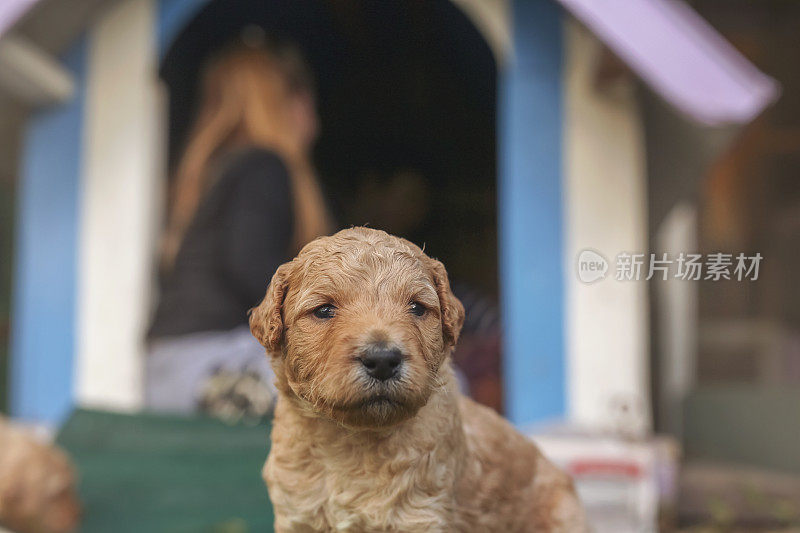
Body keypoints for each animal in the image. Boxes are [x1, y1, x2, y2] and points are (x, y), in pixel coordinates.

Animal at [250, 227, 588, 528]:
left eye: (416, 307)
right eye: (323, 310)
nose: (383, 360)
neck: (355, 443)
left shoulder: (422, 513)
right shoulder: (298, 512)